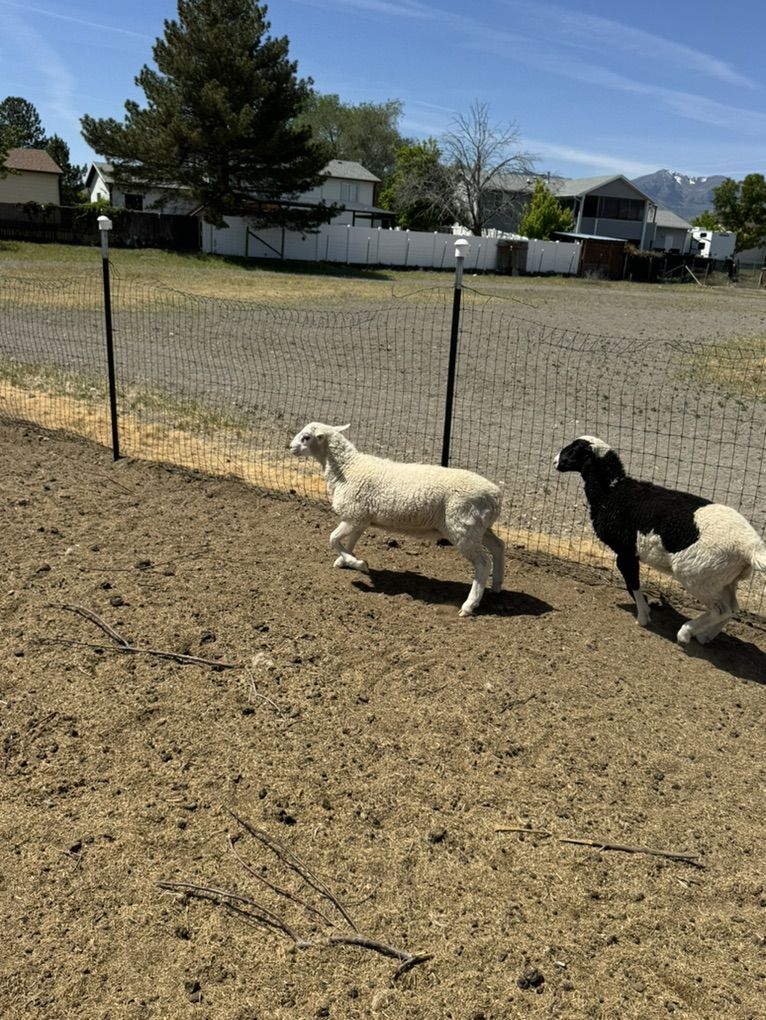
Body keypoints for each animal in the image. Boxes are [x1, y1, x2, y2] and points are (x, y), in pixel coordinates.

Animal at [290, 421, 504, 616]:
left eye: (306, 437)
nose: (290, 447)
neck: (347, 468)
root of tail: (496, 496)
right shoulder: (360, 517)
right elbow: (350, 541)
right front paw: (346, 561)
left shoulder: (354, 515)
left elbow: (333, 539)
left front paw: (359, 564)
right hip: (477, 527)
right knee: (498, 546)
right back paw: (496, 586)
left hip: (462, 527)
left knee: (483, 563)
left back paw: (469, 605)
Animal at [554, 435, 766, 645]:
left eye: (573, 451)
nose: (555, 461)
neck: (611, 492)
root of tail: (750, 547)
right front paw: (647, 608)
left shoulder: (626, 551)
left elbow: (632, 582)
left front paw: (643, 616)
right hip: (723, 578)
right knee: (732, 608)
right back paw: (705, 636)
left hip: (697, 575)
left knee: (721, 609)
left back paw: (685, 633)